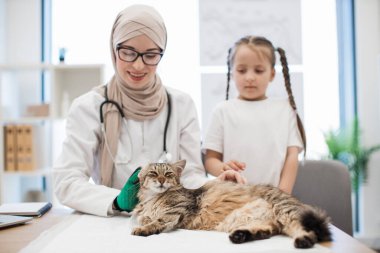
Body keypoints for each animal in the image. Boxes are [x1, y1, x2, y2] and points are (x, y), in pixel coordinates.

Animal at [132, 161, 332, 248]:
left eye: (168, 174)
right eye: (153, 173)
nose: (160, 181)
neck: (154, 198)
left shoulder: (175, 212)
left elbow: (156, 222)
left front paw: (142, 229)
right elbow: (143, 217)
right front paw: (143, 219)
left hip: (285, 211)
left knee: (309, 231)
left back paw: (303, 240)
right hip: (261, 220)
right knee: (266, 232)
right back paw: (241, 236)